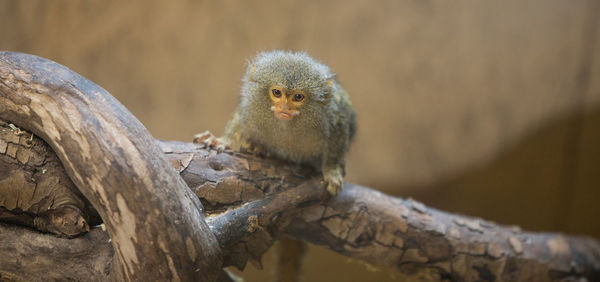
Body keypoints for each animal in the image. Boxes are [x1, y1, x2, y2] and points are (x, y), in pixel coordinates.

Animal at [197, 50, 356, 194]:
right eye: (277, 93)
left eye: (298, 97)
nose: (285, 108)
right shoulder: (250, 109)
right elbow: (238, 121)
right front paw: (222, 140)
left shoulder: (334, 119)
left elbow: (338, 139)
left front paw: (332, 170)